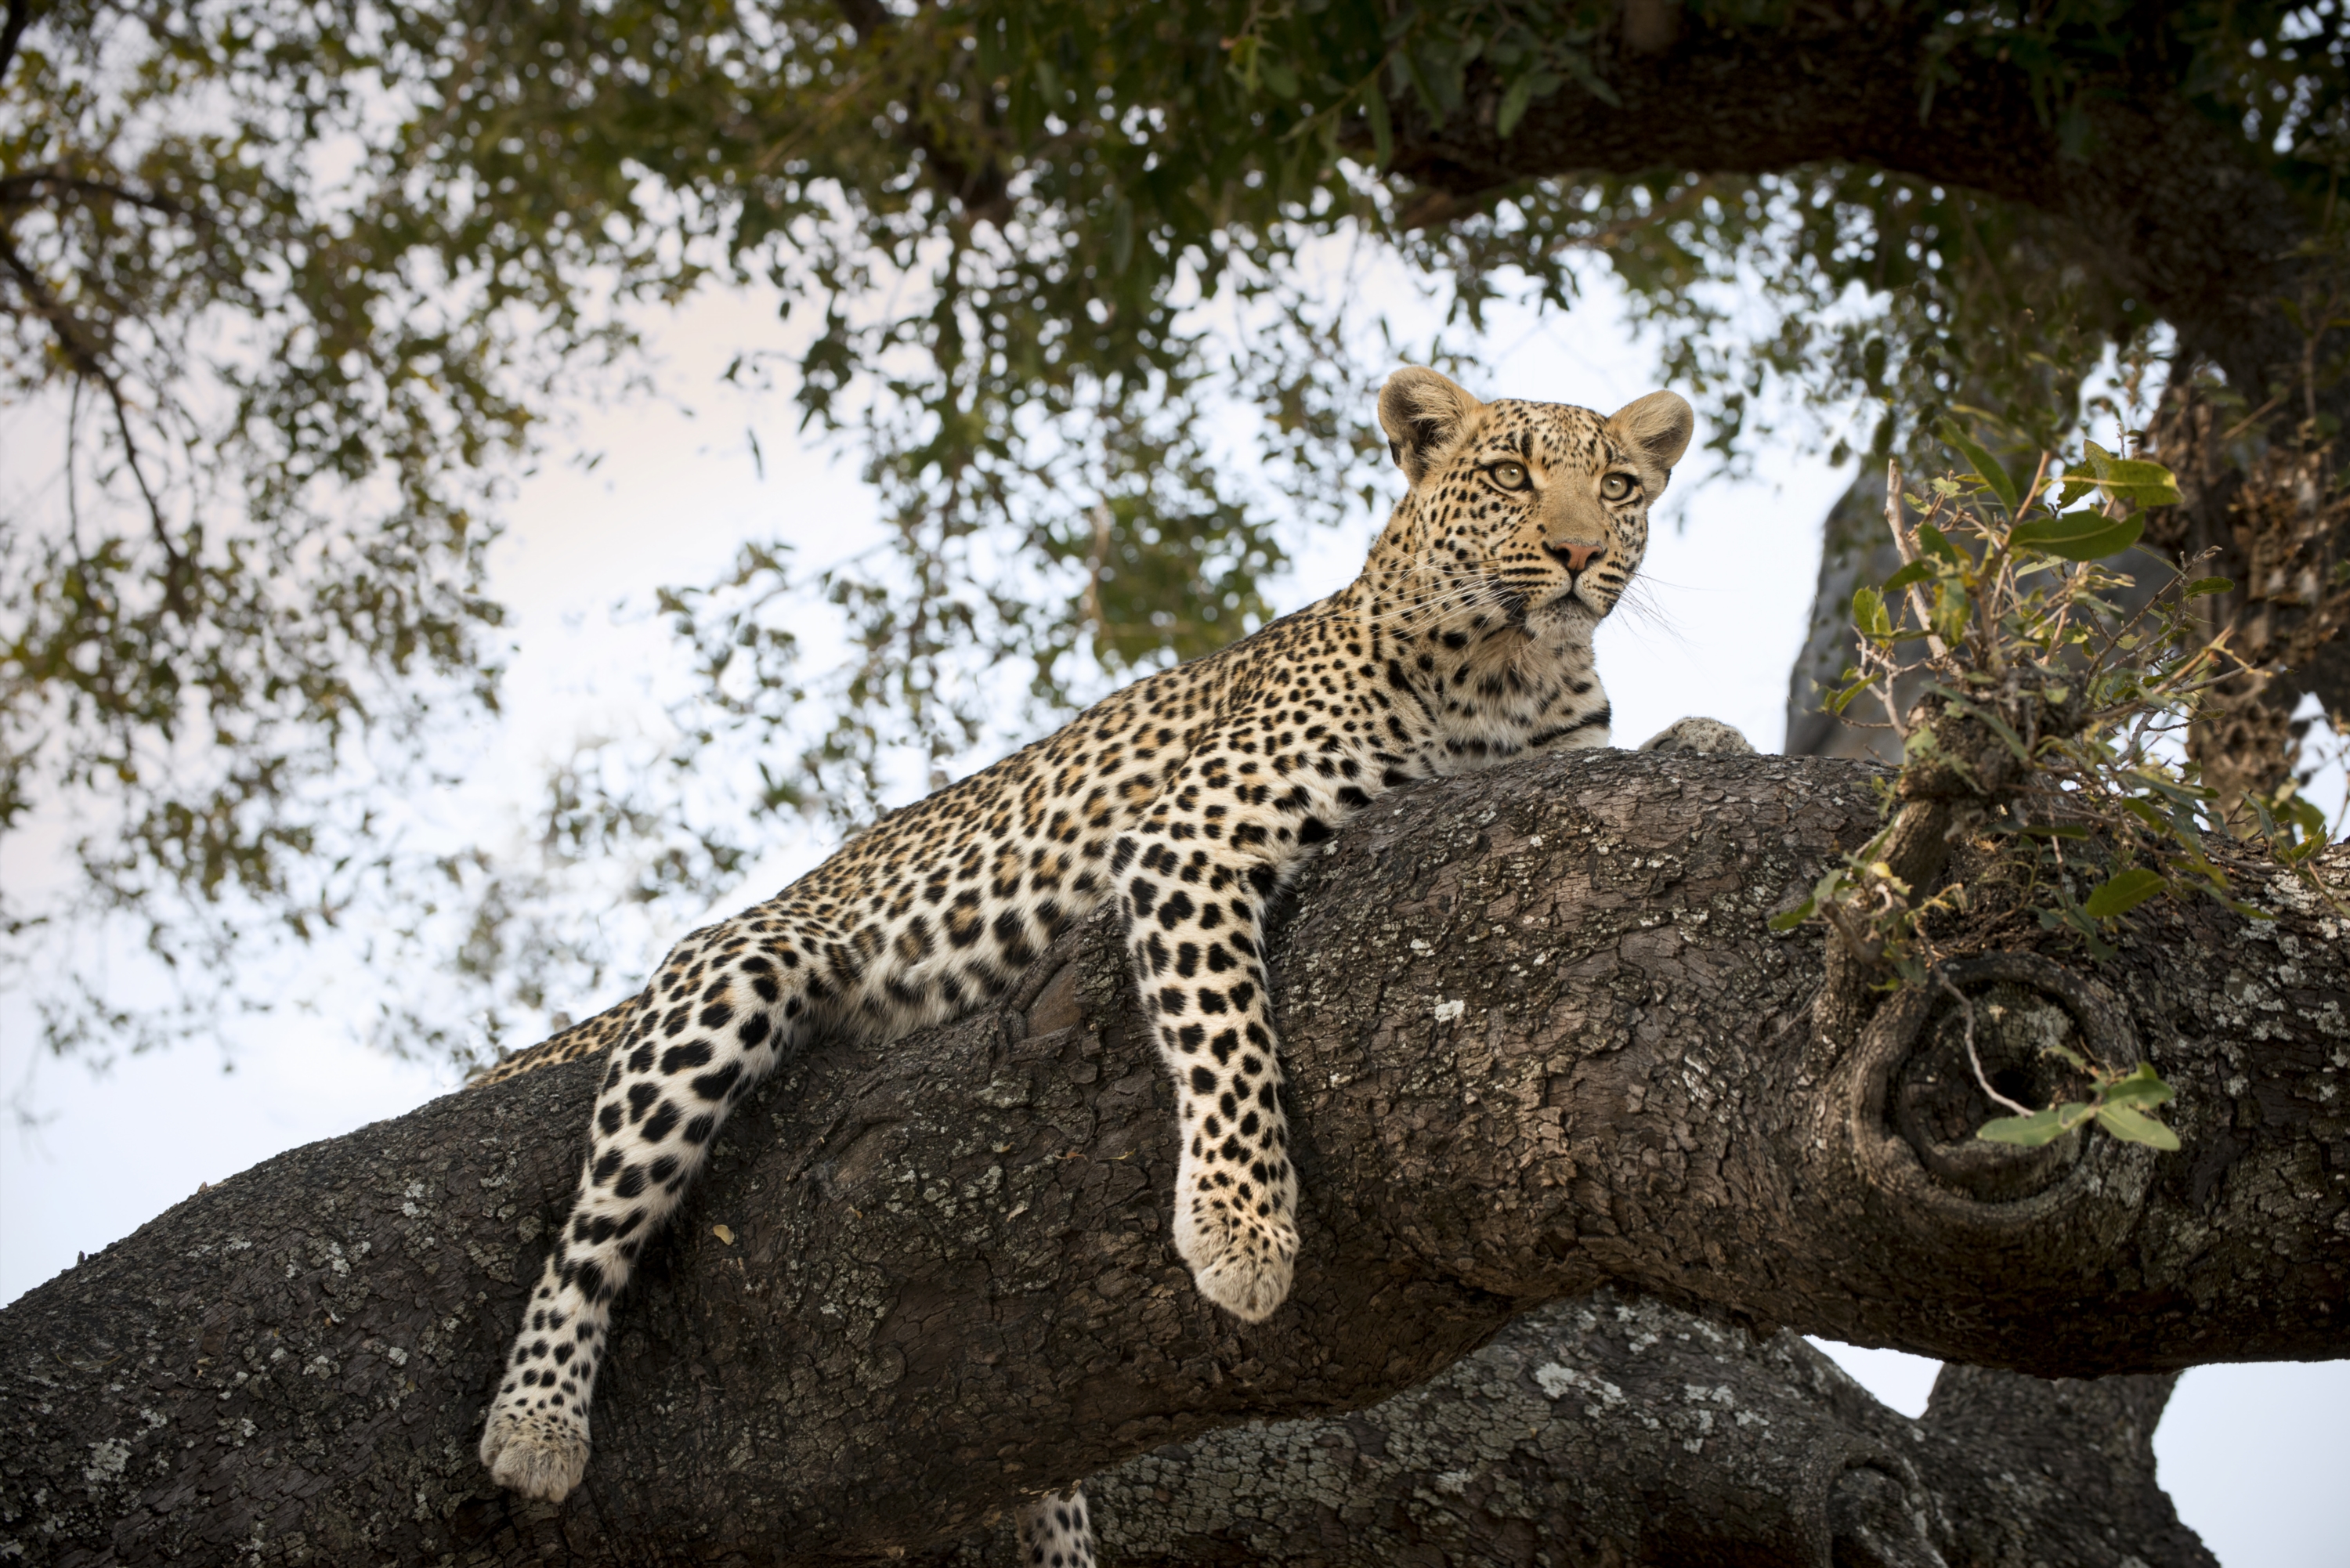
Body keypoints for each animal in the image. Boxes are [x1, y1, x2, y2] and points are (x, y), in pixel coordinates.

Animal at [470, 367, 1697, 1560]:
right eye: (1510, 473)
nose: (1580, 551)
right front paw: (1242, 1229)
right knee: (594, 1229)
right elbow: (1230, 1039)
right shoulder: (1188, 835)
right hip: (735, 969)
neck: (1516, 672)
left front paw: (1704, 736)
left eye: (1620, 487)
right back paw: (536, 1420)